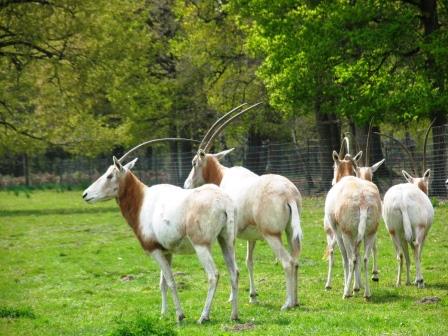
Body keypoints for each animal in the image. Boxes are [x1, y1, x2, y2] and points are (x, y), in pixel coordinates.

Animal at [82, 138, 240, 322]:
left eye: (109, 175)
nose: (85, 195)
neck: (141, 201)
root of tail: (223, 201)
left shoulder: (154, 250)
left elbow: (171, 281)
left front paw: (180, 315)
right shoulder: (166, 251)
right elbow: (162, 283)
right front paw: (163, 314)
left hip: (201, 245)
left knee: (213, 275)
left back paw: (203, 317)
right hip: (226, 241)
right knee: (234, 272)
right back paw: (234, 315)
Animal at [184, 103, 302, 312]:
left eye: (194, 162)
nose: (186, 185)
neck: (223, 176)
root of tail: (289, 195)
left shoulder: (229, 234)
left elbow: (233, 264)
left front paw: (232, 297)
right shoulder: (251, 237)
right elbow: (249, 261)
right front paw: (253, 296)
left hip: (272, 234)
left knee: (287, 262)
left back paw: (286, 304)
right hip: (290, 232)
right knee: (295, 261)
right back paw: (295, 301)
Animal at [322, 148, 382, 300]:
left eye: (333, 166)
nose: (332, 181)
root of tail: (363, 202)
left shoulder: (337, 231)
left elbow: (344, 257)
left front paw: (350, 287)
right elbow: (359, 255)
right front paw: (358, 286)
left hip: (346, 233)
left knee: (351, 258)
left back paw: (346, 293)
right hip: (370, 232)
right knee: (365, 257)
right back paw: (367, 293)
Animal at [378, 124, 434, 288]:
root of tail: (402, 201)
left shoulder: (404, 235)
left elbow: (407, 254)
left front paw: (409, 280)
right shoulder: (425, 232)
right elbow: (418, 253)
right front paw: (417, 279)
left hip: (393, 231)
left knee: (401, 254)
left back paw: (398, 282)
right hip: (419, 228)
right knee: (416, 247)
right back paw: (420, 281)